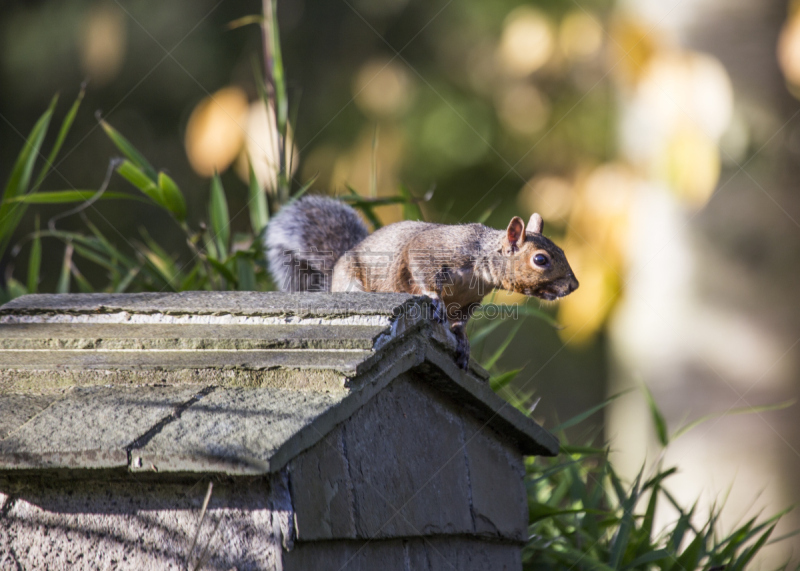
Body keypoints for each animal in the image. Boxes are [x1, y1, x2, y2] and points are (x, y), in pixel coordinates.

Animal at [266, 194, 580, 368]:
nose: (573, 286)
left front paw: (463, 340)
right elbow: (421, 270)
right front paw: (434, 299)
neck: (481, 267)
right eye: (540, 259)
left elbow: (460, 321)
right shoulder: (431, 249)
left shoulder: (469, 300)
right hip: (351, 281)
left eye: (563, 250)